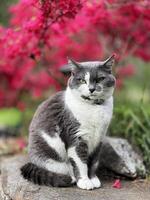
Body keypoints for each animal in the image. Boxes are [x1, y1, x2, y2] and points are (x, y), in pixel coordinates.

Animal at [20, 55, 115, 190]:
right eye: (82, 80)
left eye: (100, 78)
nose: (91, 89)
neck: (94, 107)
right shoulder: (76, 137)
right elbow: (81, 163)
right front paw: (85, 181)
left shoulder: (99, 138)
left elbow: (93, 162)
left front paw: (93, 179)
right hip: (52, 160)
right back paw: (72, 178)